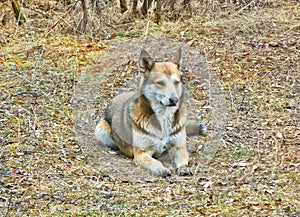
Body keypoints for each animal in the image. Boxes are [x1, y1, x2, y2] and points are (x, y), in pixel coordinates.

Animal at [95, 48, 207, 176]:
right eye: (160, 83)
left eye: (176, 82)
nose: (174, 100)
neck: (163, 117)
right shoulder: (141, 153)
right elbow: (155, 162)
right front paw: (161, 169)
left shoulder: (180, 148)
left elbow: (183, 159)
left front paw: (183, 168)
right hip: (101, 129)